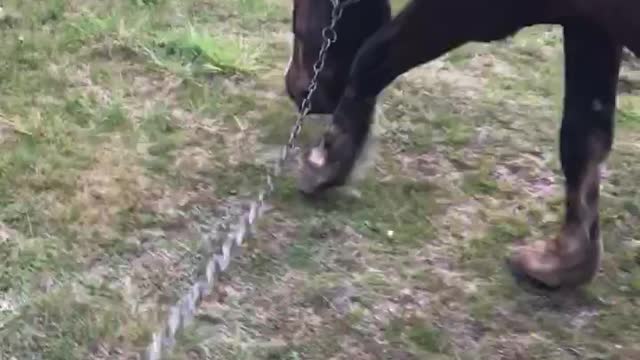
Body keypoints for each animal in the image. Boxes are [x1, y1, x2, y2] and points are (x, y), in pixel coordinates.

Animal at [284, 0, 640, 292]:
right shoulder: (588, 27)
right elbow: (583, 135)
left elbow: (371, 58)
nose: (296, 88)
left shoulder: (471, 11)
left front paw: (324, 163)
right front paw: (563, 259)